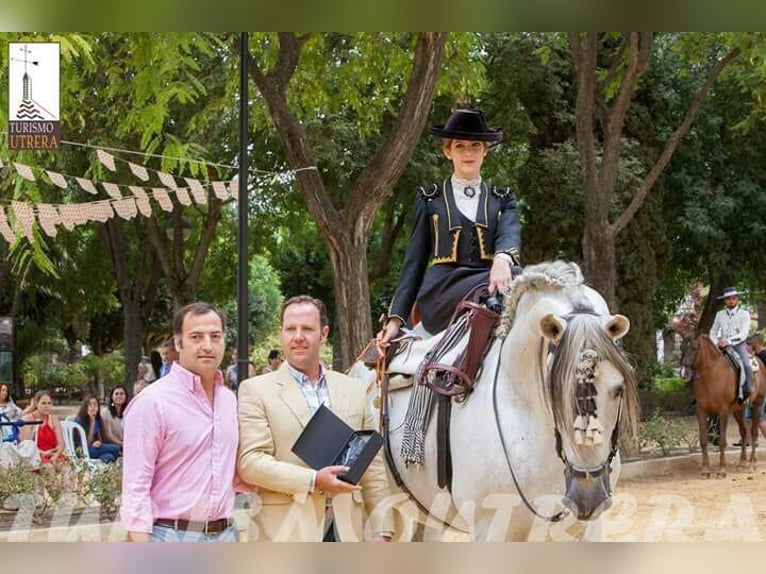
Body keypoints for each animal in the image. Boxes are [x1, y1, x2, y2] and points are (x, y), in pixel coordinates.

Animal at [680, 336, 764, 480]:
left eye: (694, 348)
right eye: (681, 347)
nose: (683, 373)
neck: (712, 375)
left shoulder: (723, 411)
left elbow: (722, 441)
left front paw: (722, 470)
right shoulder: (701, 411)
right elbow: (703, 440)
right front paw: (705, 470)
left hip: (757, 404)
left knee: (753, 433)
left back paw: (751, 464)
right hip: (738, 410)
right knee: (744, 432)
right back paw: (742, 463)